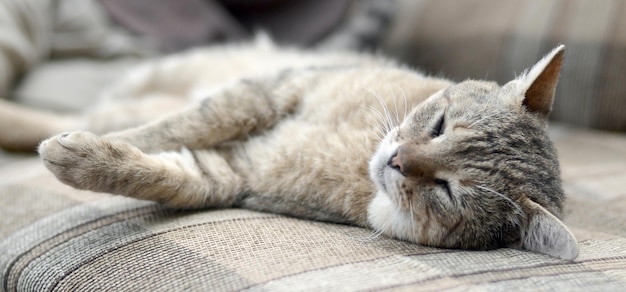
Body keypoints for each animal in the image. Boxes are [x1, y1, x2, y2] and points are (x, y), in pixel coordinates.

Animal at [0, 37, 576, 258]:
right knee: (88, 114)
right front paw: (96, 145)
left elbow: (160, 171)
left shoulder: (232, 173)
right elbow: (169, 129)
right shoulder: (269, 91)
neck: (357, 152)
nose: (395, 160)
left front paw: (80, 158)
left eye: (448, 190)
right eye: (438, 126)